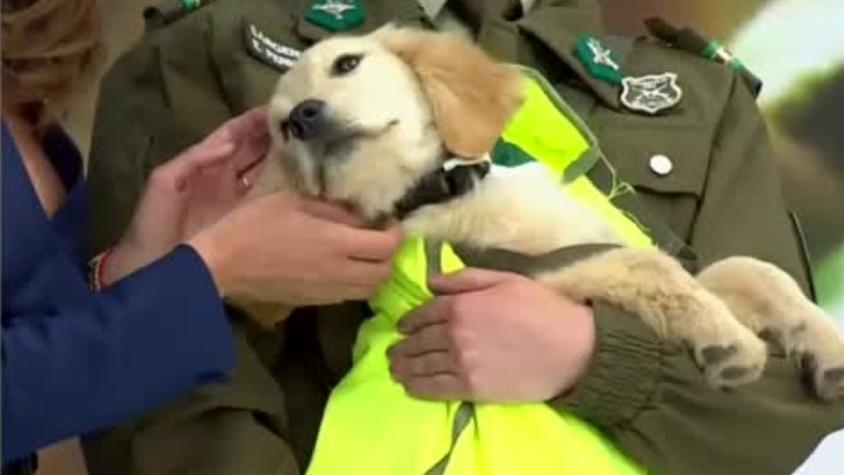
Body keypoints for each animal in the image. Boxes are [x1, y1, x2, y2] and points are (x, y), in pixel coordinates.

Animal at [258, 25, 844, 398]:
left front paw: (825, 345)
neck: (452, 186)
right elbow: (650, 266)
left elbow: (753, 269)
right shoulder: (533, 275)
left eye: (347, 64)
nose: (304, 118)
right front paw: (727, 340)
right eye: (283, 128)